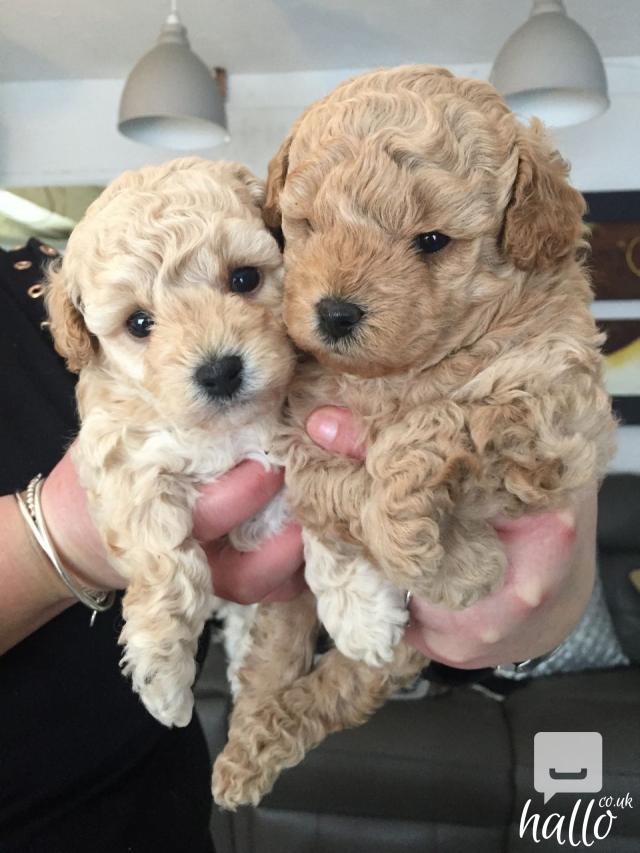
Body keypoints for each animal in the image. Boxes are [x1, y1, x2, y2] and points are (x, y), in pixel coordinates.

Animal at [214, 65, 616, 804]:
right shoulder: (303, 419)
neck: (395, 374)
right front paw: (450, 557)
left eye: (431, 241)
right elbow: (322, 486)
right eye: (307, 225)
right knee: (277, 656)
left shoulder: (563, 406)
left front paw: (444, 557)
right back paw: (246, 743)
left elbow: (442, 421)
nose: (335, 312)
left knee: (352, 680)